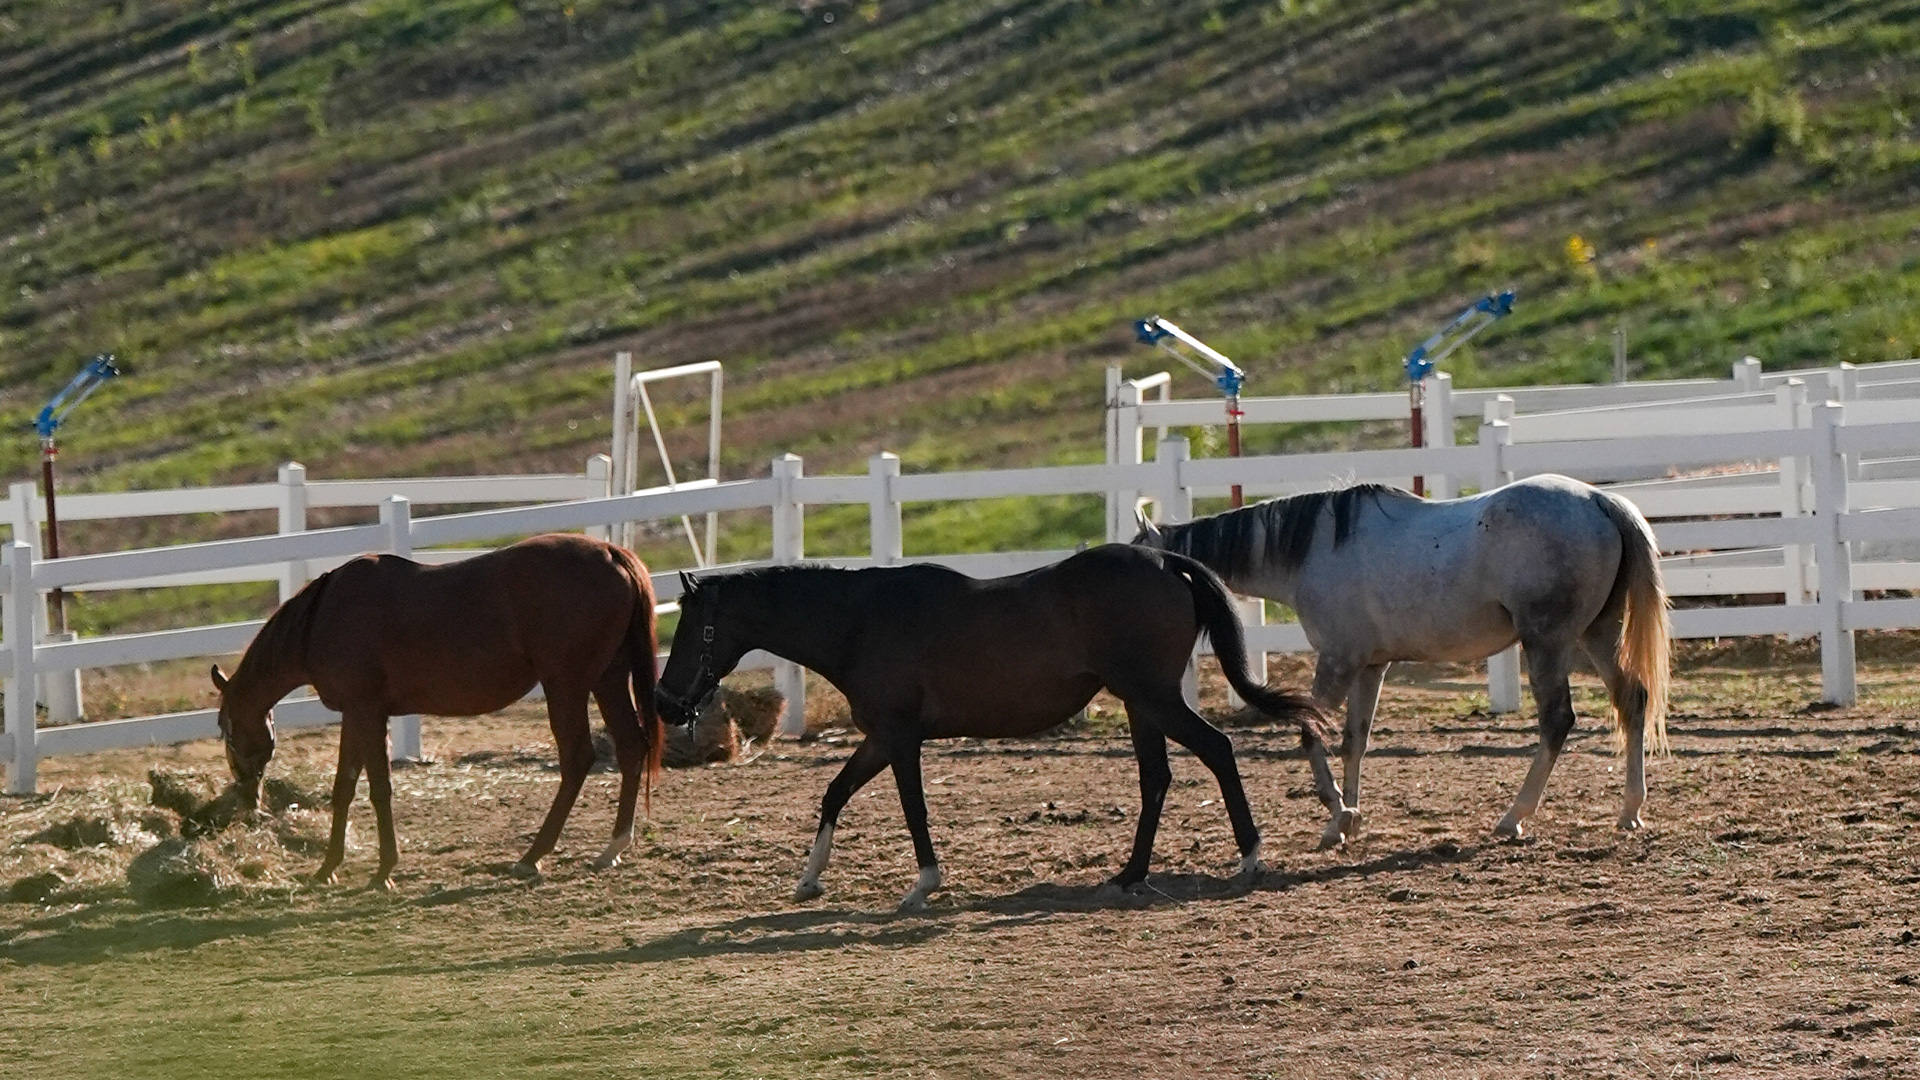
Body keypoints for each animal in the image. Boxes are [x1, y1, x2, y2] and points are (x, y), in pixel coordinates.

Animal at [210, 532, 664, 890]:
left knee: (577, 758)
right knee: (630, 746)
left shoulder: (366, 712)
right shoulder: (356, 716)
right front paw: (328, 868)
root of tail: (610, 552)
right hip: (607, 678)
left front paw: (384, 871)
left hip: (566, 686)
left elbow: (379, 788)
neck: (322, 617)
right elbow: (344, 787)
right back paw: (613, 846)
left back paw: (532, 856)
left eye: (226, 730)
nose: (248, 797)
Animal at [653, 543, 1331, 911]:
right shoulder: (879, 737)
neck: (860, 621)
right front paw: (807, 881)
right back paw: (1128, 875)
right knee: (1156, 779)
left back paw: (1249, 858)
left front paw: (922, 885)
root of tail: (1164, 558)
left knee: (1216, 750)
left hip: (1154, 698)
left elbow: (912, 808)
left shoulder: (900, 737)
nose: (663, 702)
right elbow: (834, 793)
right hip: (1143, 704)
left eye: (692, 628)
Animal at [1133, 473, 1670, 848]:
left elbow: (1311, 733)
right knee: (1632, 699)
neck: (1315, 548)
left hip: (1547, 642)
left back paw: (1514, 817)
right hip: (1596, 633)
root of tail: (1600, 501)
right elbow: (1354, 741)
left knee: (1557, 720)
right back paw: (1629, 810)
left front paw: (1337, 815)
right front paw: (1346, 822)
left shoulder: (1338, 661)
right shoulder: (1370, 667)